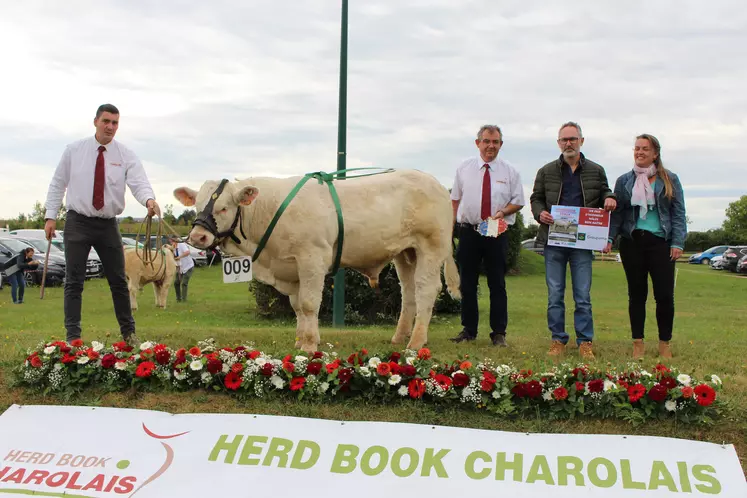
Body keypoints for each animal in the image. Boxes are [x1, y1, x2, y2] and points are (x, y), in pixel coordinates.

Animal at [175, 169, 458, 352]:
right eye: (197, 205)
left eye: (223, 207)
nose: (197, 236)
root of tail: (437, 184)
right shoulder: (291, 267)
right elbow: (298, 306)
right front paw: (301, 340)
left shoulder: (312, 258)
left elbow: (310, 304)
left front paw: (310, 346)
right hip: (405, 253)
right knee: (408, 293)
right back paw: (399, 337)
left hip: (431, 247)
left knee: (427, 290)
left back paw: (416, 342)